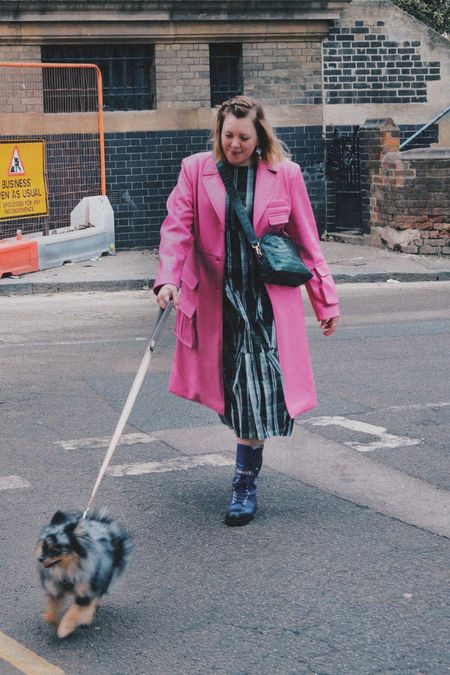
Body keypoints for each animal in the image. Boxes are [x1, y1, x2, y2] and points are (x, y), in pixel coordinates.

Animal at [36, 512, 132, 640]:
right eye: (44, 546)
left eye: (56, 549)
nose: (40, 558)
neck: (67, 570)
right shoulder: (56, 590)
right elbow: (49, 615)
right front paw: (56, 623)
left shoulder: (85, 591)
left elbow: (73, 612)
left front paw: (64, 629)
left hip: (103, 575)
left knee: (96, 597)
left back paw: (86, 619)